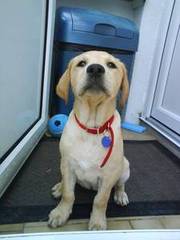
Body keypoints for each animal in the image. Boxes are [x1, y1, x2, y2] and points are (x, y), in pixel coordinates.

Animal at [47, 50, 129, 231]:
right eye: (82, 63)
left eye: (111, 65)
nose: (96, 69)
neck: (92, 127)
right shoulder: (68, 164)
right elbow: (69, 195)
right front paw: (61, 213)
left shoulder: (109, 175)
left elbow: (100, 200)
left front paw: (97, 222)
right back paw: (59, 187)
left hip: (125, 167)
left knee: (120, 184)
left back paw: (120, 194)